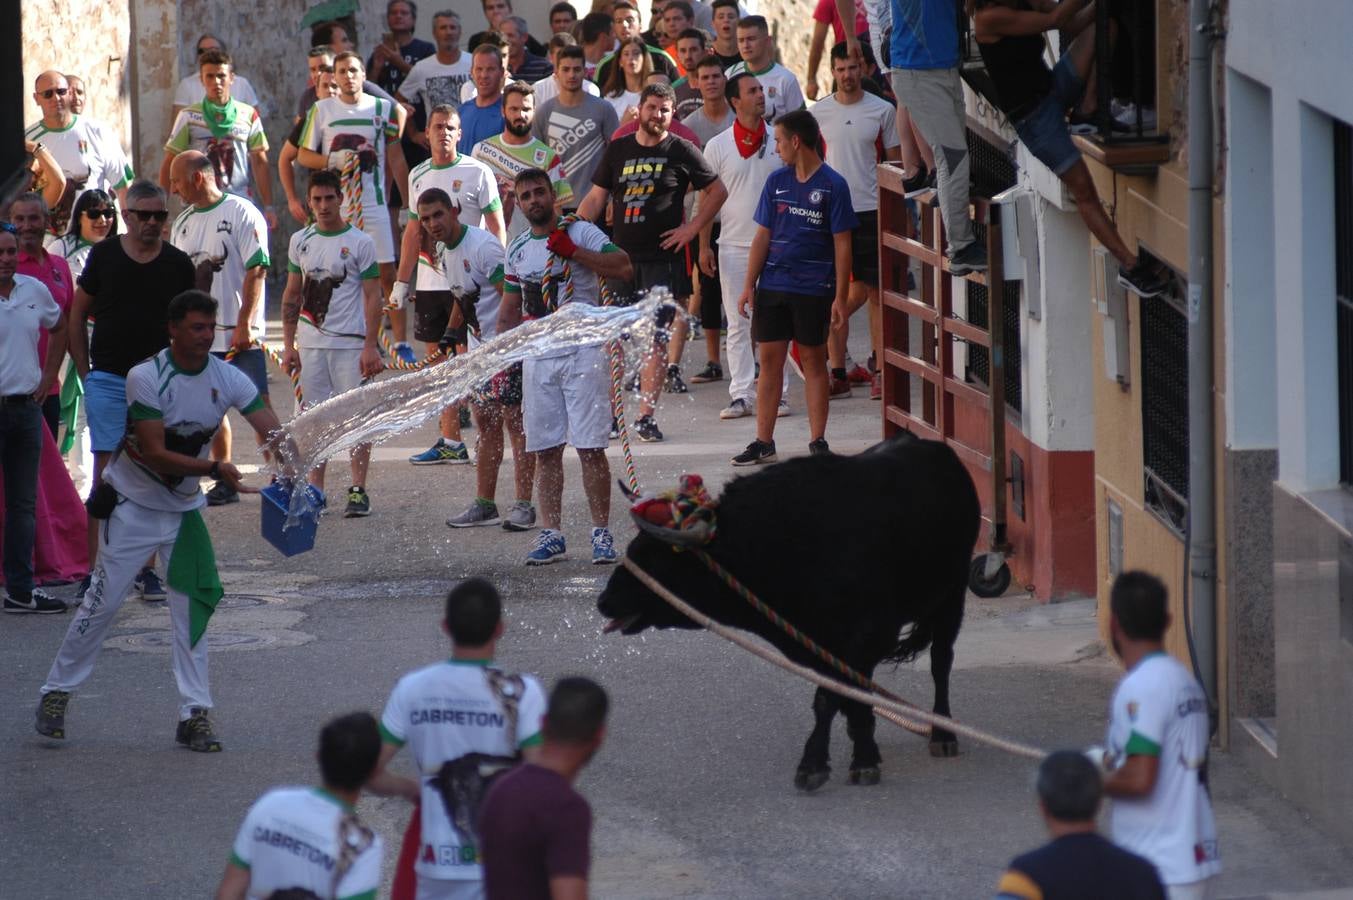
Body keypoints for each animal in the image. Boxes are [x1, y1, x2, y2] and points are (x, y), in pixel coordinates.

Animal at [598, 433, 979, 790]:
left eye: (654, 559)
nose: (604, 602)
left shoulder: (867, 635)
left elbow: (831, 696)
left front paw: (822, 764)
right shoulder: (823, 644)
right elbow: (844, 695)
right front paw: (861, 749)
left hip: (953, 594)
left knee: (941, 661)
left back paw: (943, 734)